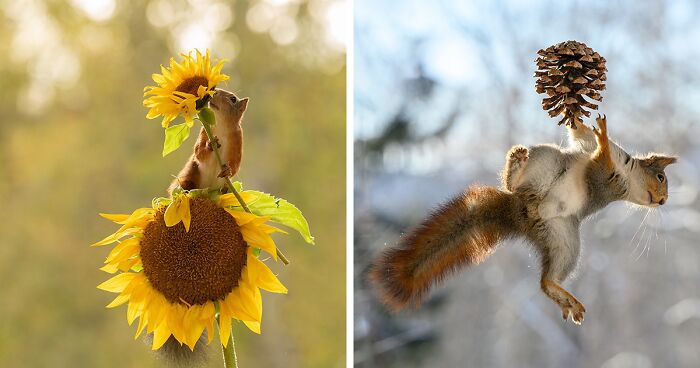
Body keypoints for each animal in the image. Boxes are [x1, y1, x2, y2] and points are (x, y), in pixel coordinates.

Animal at [370, 113, 676, 324]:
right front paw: (591, 124)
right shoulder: (596, 157)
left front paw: (601, 133)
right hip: (547, 162)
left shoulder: (607, 179)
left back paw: (562, 296)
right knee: (516, 184)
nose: (663, 201)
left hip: (563, 239)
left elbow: (600, 158)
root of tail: (522, 213)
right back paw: (515, 167)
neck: (627, 171)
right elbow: (583, 137)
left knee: (546, 280)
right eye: (661, 177)